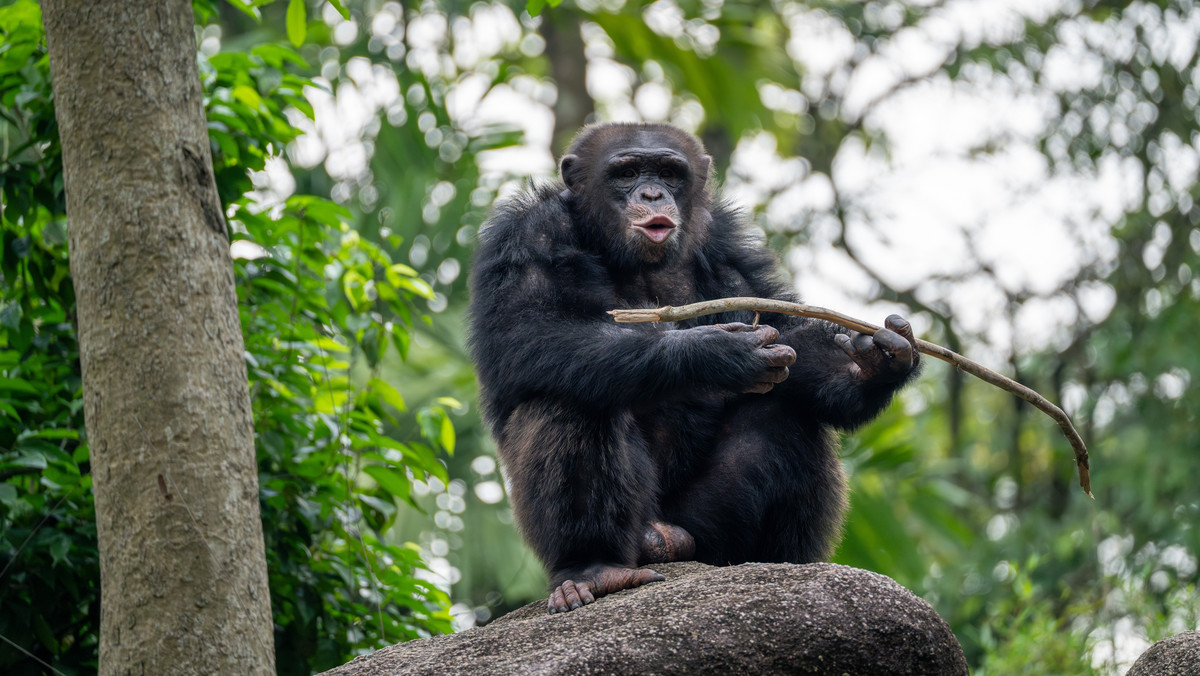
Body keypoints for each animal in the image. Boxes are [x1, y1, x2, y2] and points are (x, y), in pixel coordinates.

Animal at [468, 121, 916, 614]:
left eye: (669, 172)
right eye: (626, 172)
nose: (651, 193)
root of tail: (665, 539)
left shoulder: (728, 244)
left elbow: (786, 332)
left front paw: (870, 363)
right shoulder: (530, 234)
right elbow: (528, 329)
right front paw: (714, 353)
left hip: (705, 535)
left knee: (784, 413)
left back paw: (775, 568)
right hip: (635, 532)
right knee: (571, 394)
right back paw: (594, 569)